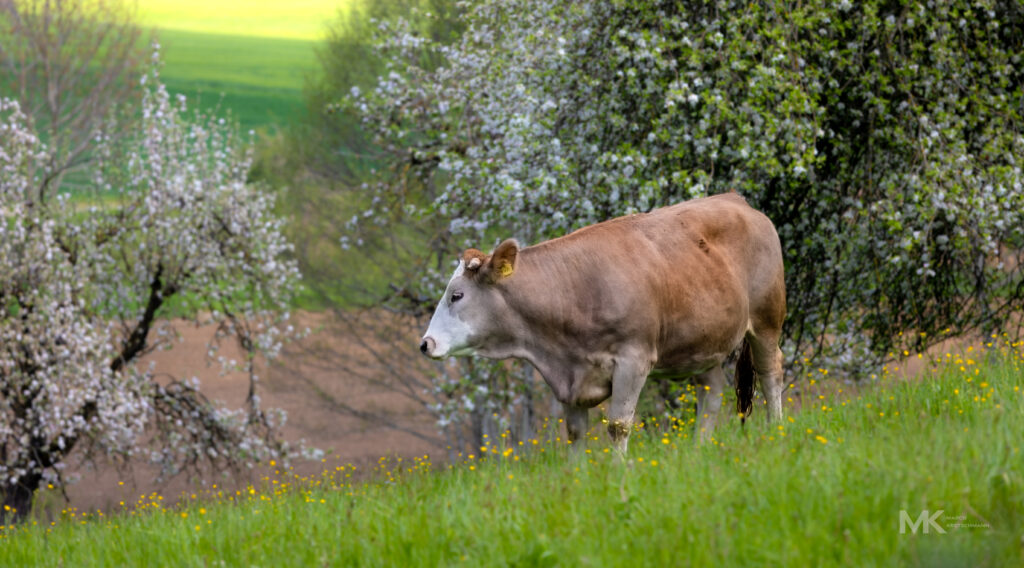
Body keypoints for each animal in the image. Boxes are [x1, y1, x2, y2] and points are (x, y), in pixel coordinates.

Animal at [419, 193, 786, 454]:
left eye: (457, 295)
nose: (425, 343)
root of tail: (736, 199)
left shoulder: (633, 360)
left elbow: (618, 426)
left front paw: (619, 476)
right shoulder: (569, 376)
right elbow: (574, 432)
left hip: (767, 320)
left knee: (771, 373)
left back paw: (776, 432)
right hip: (703, 345)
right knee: (711, 392)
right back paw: (699, 450)